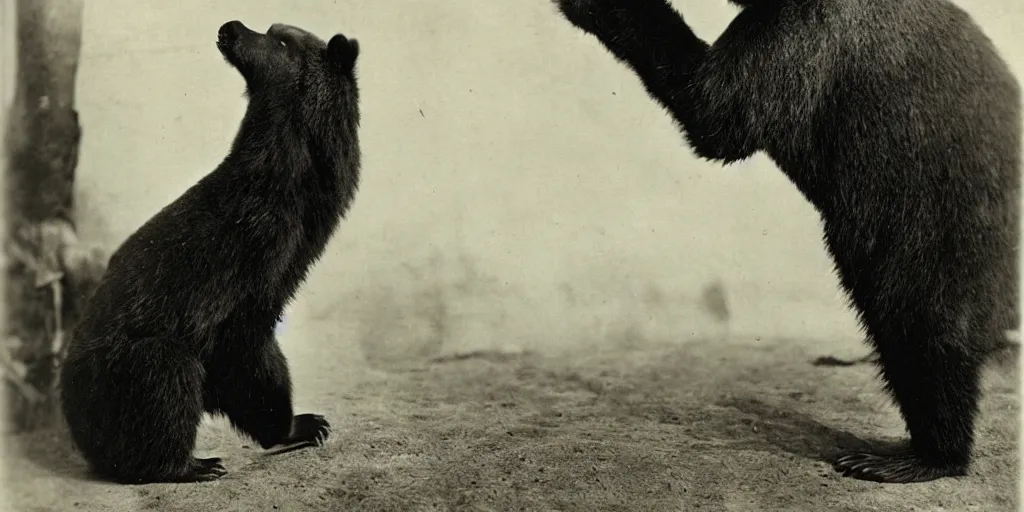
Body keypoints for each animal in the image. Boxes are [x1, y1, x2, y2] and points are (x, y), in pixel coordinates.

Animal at [60, 20, 364, 483]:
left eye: (281, 39)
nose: (230, 27)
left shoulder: (289, 258)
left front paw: (304, 423)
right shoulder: (246, 259)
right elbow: (243, 348)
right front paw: (294, 422)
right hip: (122, 368)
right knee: (167, 377)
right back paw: (191, 463)